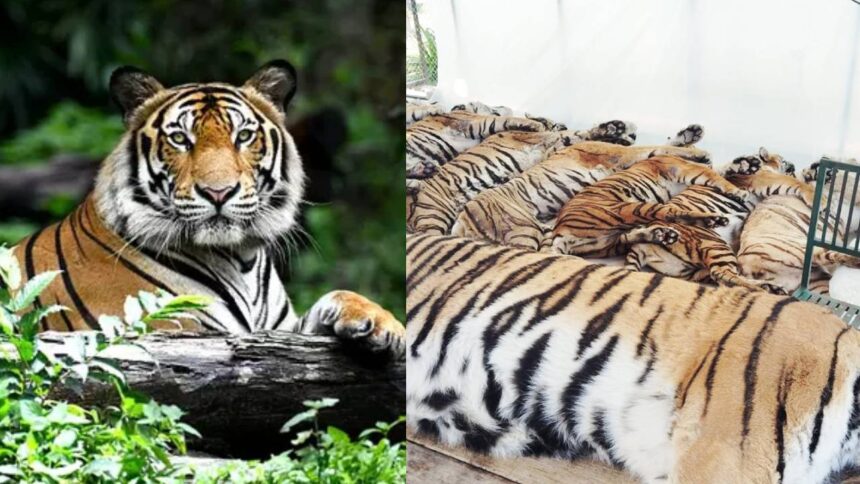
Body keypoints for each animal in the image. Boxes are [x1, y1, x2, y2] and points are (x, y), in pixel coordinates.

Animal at [10, 61, 404, 357]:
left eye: (243, 136)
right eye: (180, 139)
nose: (219, 192)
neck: (242, 259)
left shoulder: (279, 332)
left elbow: (337, 295)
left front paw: (384, 324)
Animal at [551, 155, 749, 258]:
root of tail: (559, 230)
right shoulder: (687, 169)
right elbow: (716, 176)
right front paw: (739, 190)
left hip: (605, 244)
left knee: (629, 237)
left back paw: (664, 235)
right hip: (628, 208)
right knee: (670, 213)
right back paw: (714, 219)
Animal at [622, 148, 813, 293]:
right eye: (783, 159)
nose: (794, 165)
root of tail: (641, 246)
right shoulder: (763, 178)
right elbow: (792, 182)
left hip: (690, 270)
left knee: (722, 278)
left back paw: (771, 287)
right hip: (714, 243)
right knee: (722, 274)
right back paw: (766, 289)